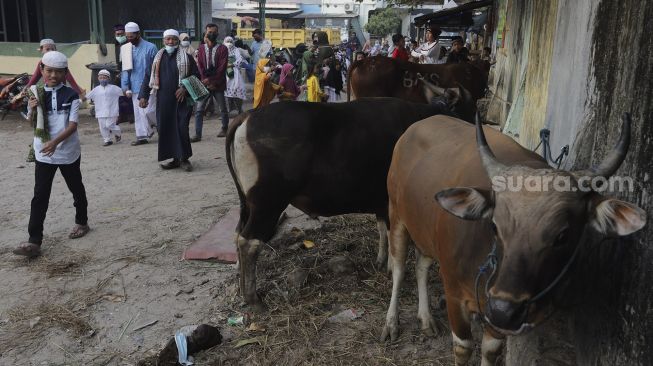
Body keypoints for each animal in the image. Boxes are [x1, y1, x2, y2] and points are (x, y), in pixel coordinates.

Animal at [227, 97, 456, 308]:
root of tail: (248, 116)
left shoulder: (381, 203)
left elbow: (382, 229)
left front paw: (381, 260)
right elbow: (393, 240)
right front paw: (392, 268)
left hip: (248, 204)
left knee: (237, 233)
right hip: (268, 204)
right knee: (249, 241)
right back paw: (252, 298)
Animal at [384, 113, 644, 364]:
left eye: (563, 235)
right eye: (494, 225)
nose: (504, 309)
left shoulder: (499, 319)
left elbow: (490, 351)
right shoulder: (454, 294)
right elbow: (463, 348)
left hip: (422, 228)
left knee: (421, 265)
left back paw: (426, 318)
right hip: (396, 215)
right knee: (398, 268)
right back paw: (391, 323)